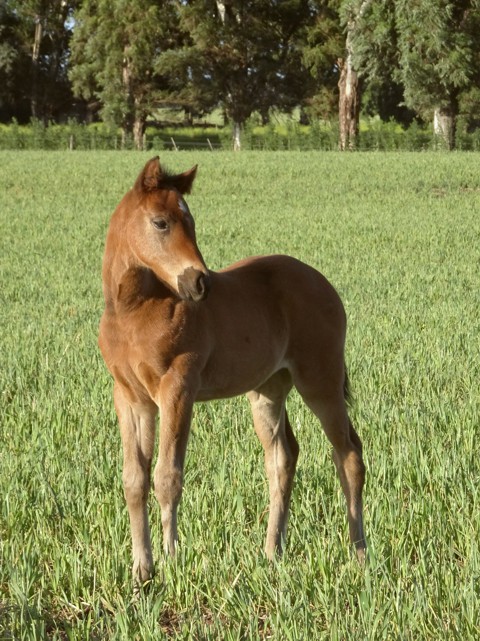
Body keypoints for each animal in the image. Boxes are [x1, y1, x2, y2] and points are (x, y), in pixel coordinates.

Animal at [99, 155, 366, 584]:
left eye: (191, 221)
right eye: (161, 222)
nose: (199, 282)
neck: (134, 313)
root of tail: (324, 283)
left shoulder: (178, 389)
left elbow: (168, 476)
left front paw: (173, 559)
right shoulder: (130, 398)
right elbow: (134, 479)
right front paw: (142, 569)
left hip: (320, 381)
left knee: (349, 454)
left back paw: (359, 555)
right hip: (268, 390)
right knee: (282, 458)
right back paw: (272, 553)